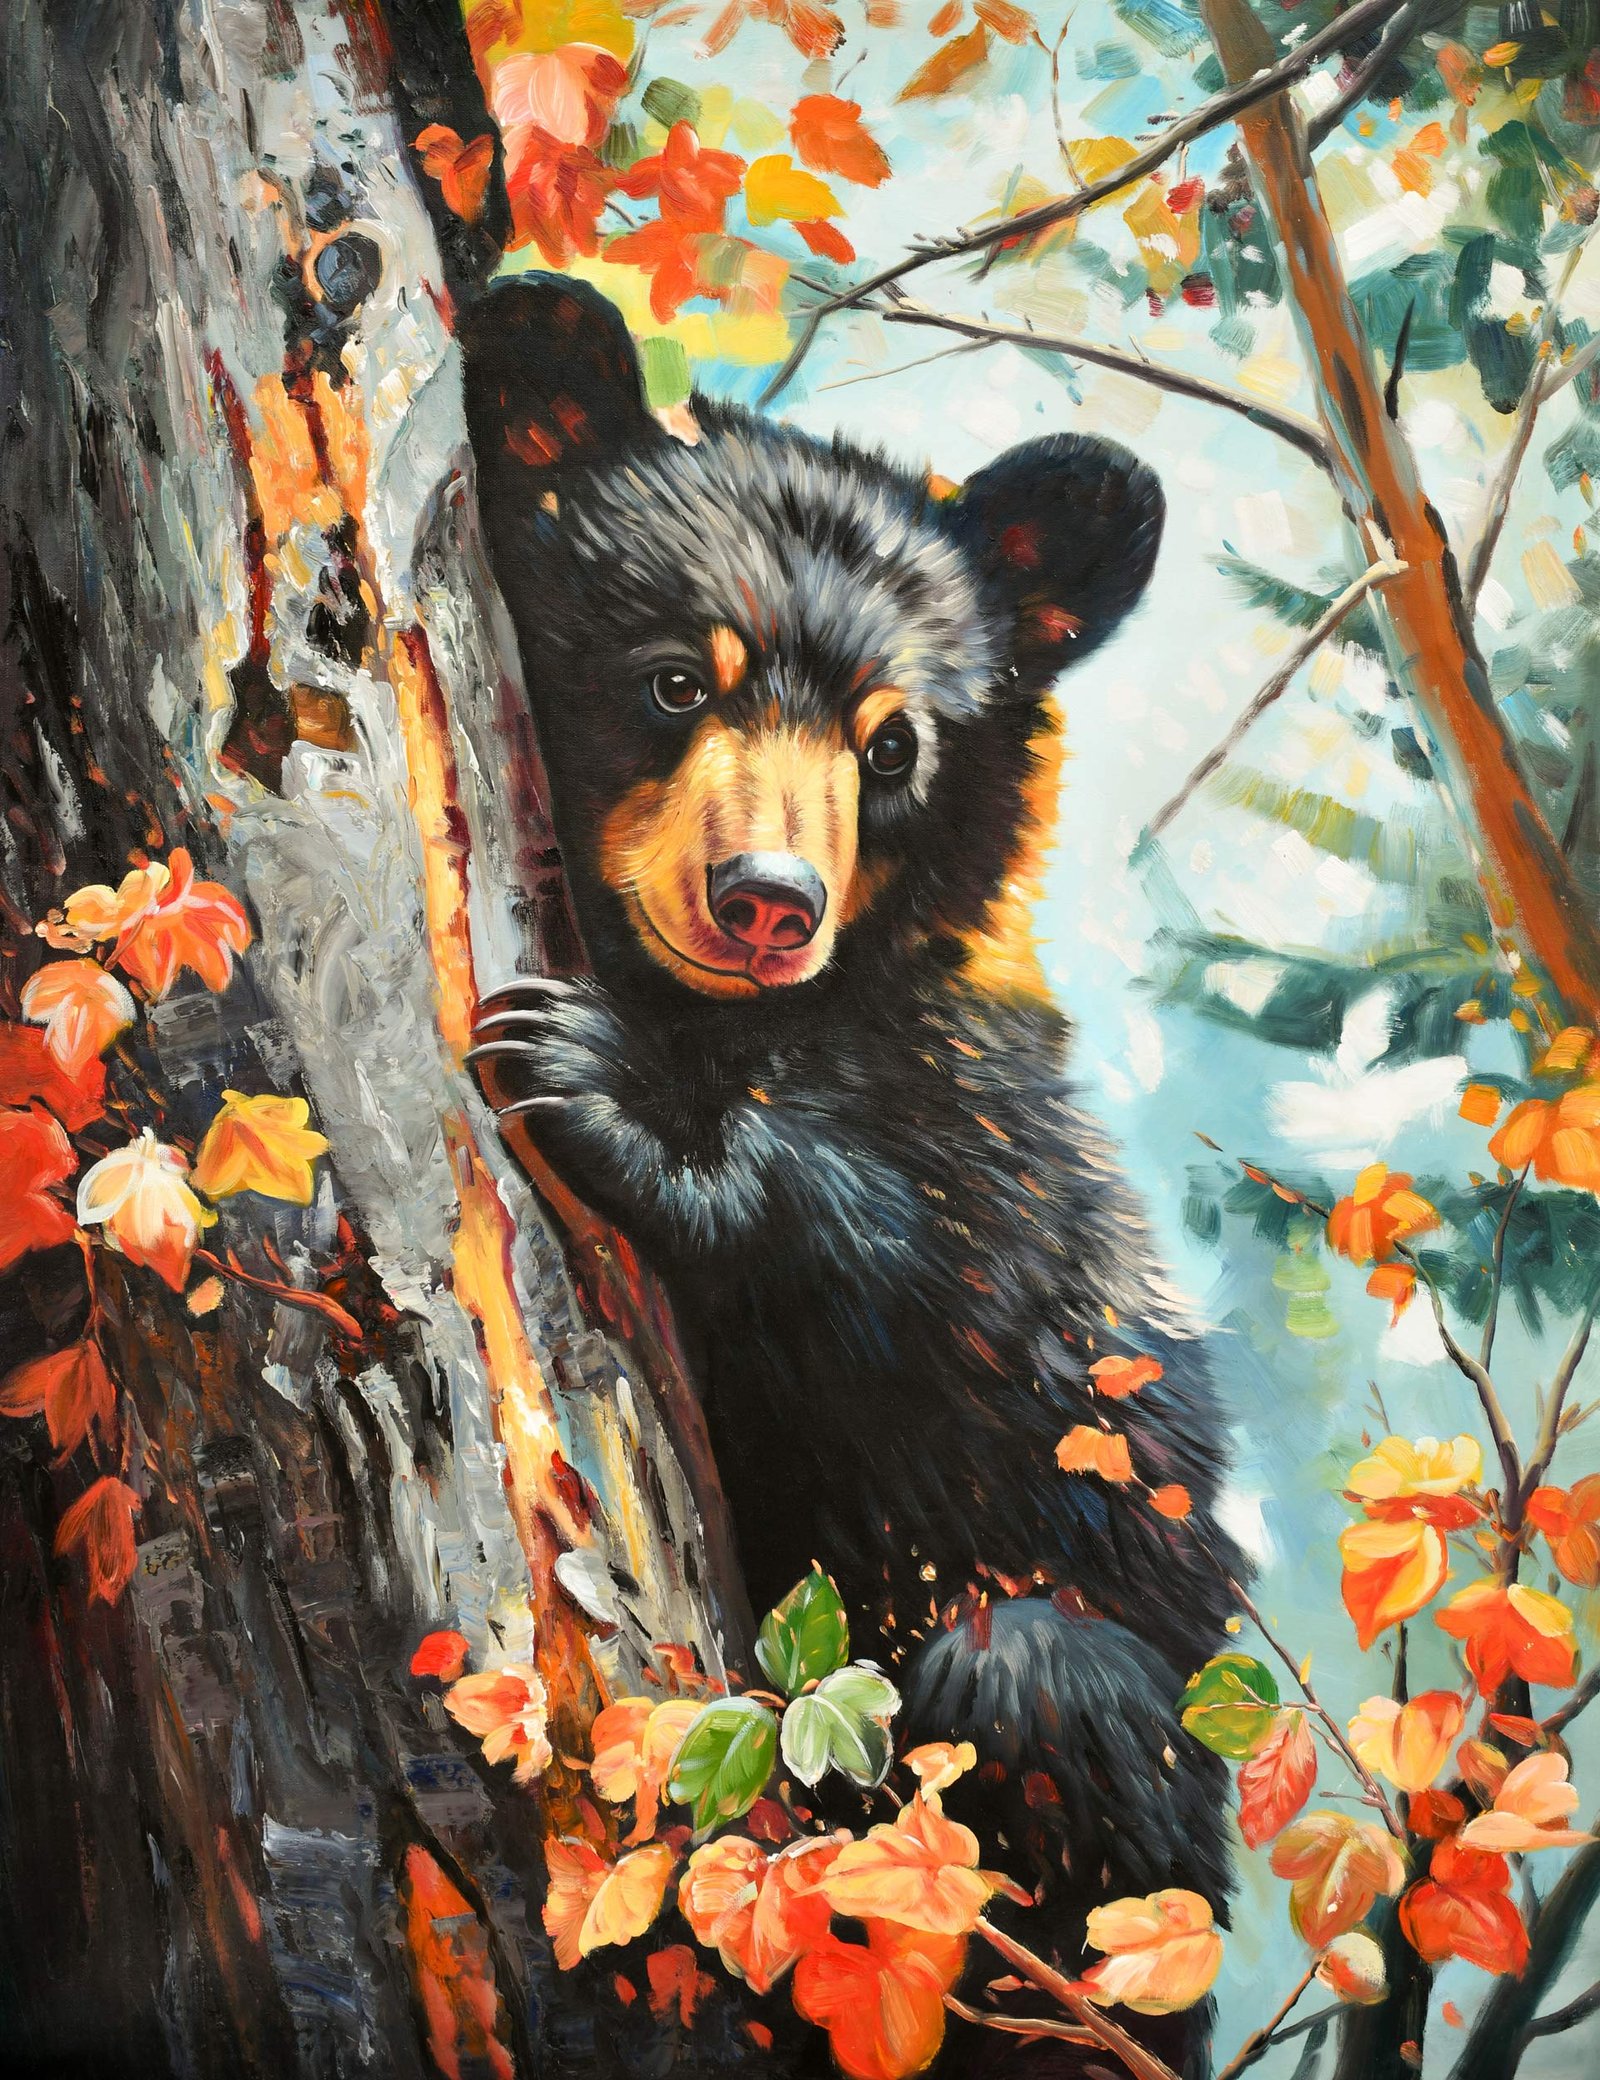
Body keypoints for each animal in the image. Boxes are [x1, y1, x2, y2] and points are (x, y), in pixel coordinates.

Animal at [459, 274, 1244, 2075]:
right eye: (675, 681)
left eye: (892, 749)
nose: (768, 899)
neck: (732, 1012)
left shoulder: (976, 1123)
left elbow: (920, 1276)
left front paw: (592, 1082)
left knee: (1036, 1689)